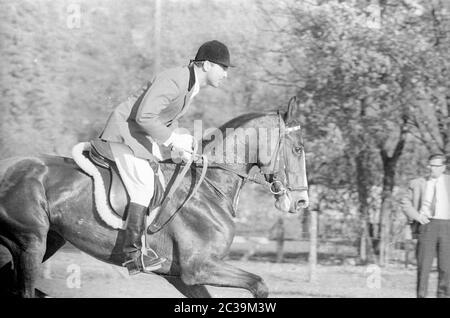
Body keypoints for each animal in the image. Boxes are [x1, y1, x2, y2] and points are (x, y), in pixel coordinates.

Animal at [0, 100, 308, 298]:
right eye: (297, 149)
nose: (301, 202)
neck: (208, 189)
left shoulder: (185, 277)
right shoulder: (199, 268)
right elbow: (259, 284)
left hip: (48, 240)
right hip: (31, 242)